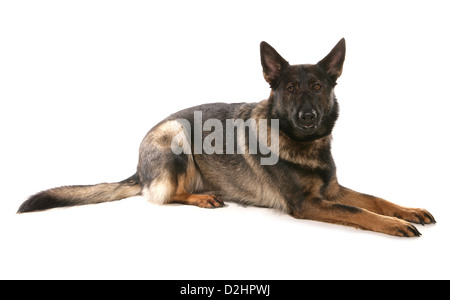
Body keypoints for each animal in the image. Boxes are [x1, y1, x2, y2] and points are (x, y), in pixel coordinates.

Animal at [18, 39, 436, 237]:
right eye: (289, 89)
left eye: (317, 87)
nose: (307, 116)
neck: (303, 144)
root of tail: (137, 168)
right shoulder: (308, 204)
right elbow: (359, 211)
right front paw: (394, 225)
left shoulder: (330, 191)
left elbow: (374, 199)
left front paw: (407, 211)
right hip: (177, 137)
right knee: (163, 196)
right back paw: (203, 197)